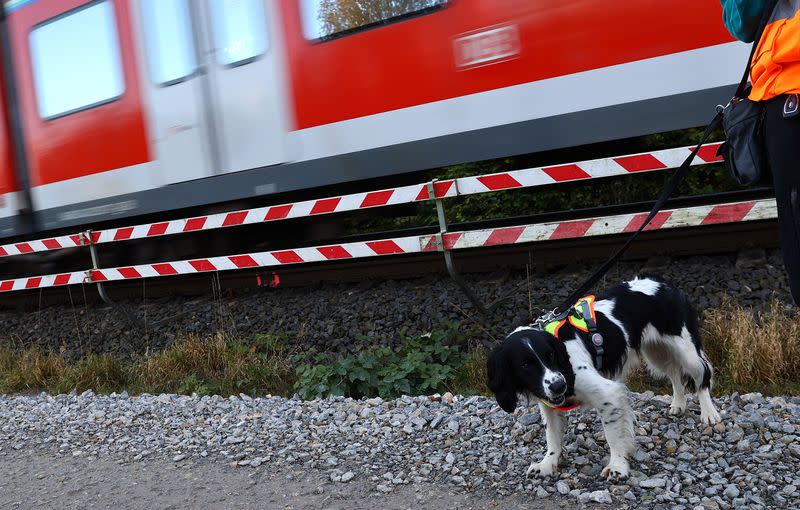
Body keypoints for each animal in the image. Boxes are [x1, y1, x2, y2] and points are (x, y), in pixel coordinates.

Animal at [488, 276, 724, 480]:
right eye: (525, 365)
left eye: (551, 355)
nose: (559, 386)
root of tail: (665, 284)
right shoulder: (549, 404)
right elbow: (552, 438)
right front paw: (547, 464)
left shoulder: (606, 394)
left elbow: (613, 435)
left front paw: (617, 466)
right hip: (656, 351)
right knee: (674, 373)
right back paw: (678, 404)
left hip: (686, 351)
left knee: (702, 374)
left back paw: (709, 414)